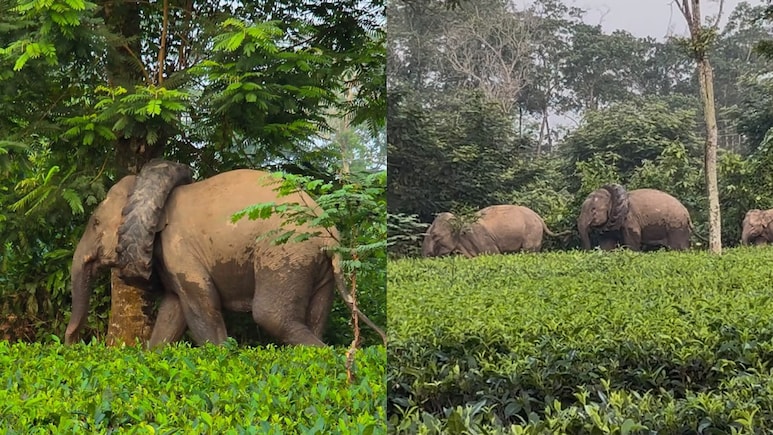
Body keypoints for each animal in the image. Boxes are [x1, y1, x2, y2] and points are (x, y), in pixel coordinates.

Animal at [64, 159, 385, 347]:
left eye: (95, 223)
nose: (70, 344)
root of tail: (329, 232)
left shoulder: (180, 250)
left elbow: (203, 303)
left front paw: (220, 354)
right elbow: (172, 310)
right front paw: (153, 355)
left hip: (285, 253)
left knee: (270, 315)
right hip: (317, 266)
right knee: (316, 316)